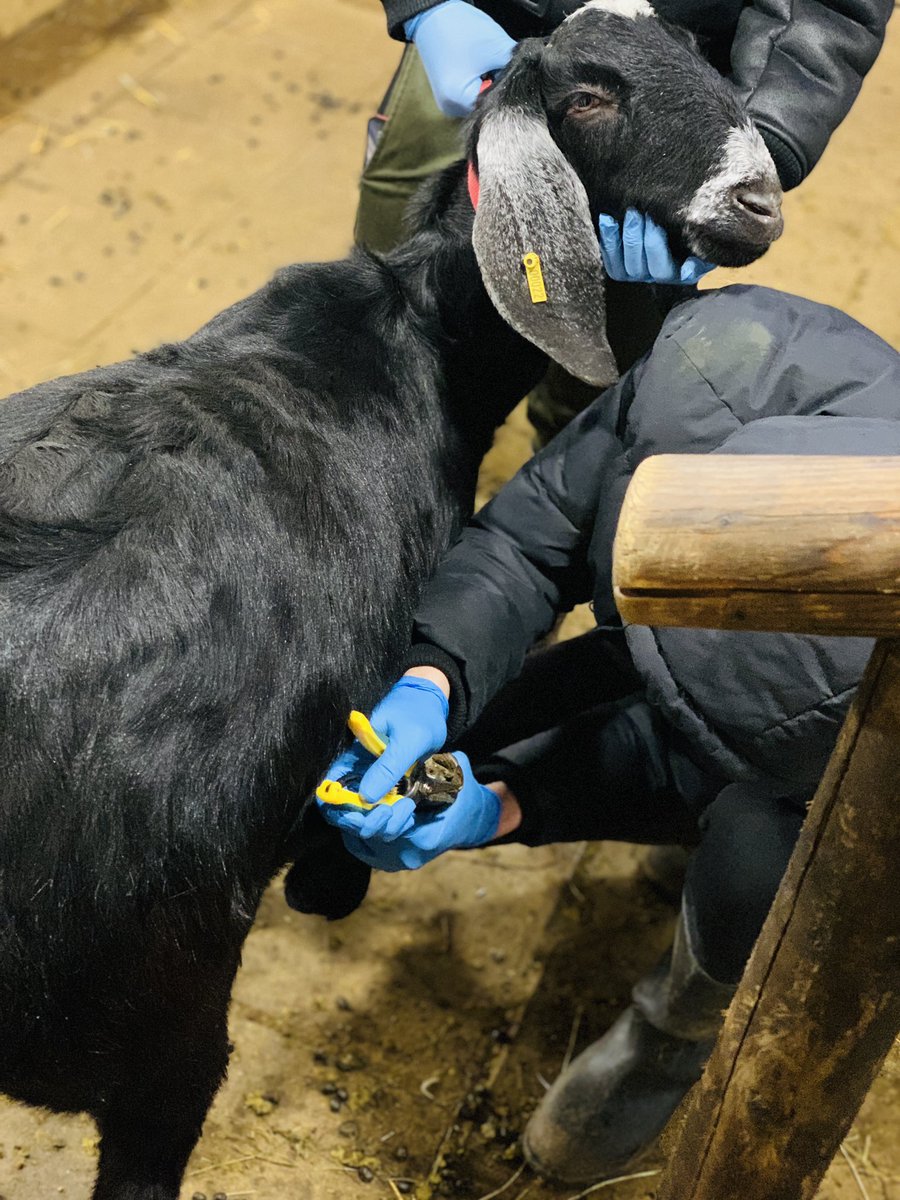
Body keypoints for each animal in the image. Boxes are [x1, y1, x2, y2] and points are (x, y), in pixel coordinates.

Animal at [0, 9, 782, 1200]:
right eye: (590, 96)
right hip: (161, 1021)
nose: (760, 200)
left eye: (704, 53)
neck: (419, 330)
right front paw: (333, 884)